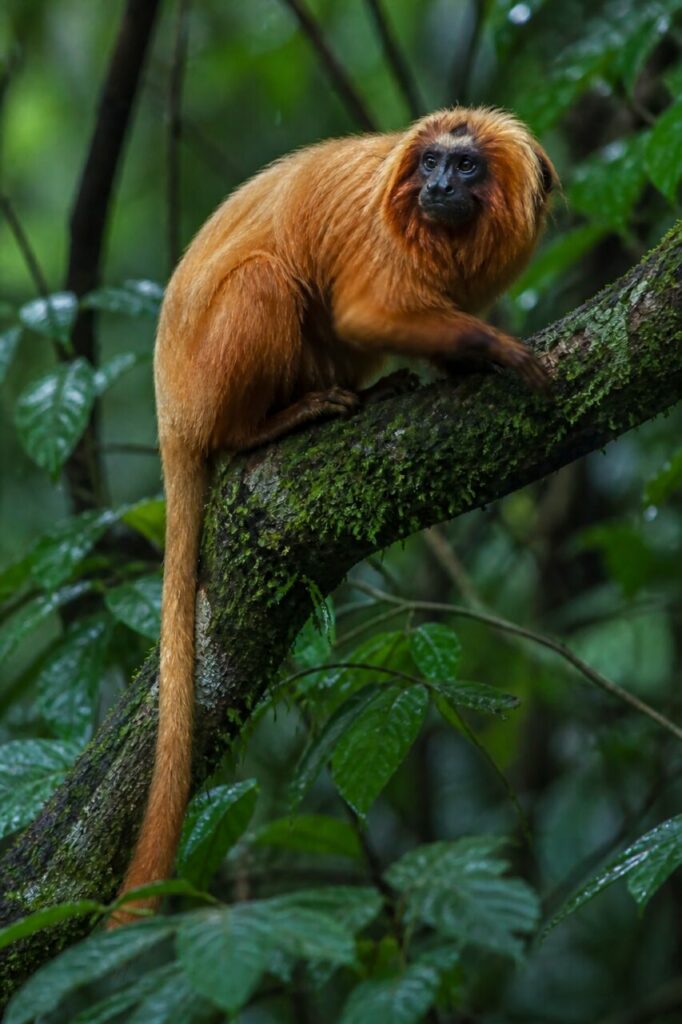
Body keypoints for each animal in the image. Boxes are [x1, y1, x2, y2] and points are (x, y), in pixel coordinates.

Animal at [111, 107, 556, 925]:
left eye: (466, 167)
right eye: (433, 164)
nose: (438, 186)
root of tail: (170, 412)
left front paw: (464, 363)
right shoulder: (382, 242)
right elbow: (364, 312)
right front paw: (495, 350)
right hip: (207, 383)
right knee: (266, 284)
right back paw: (267, 427)